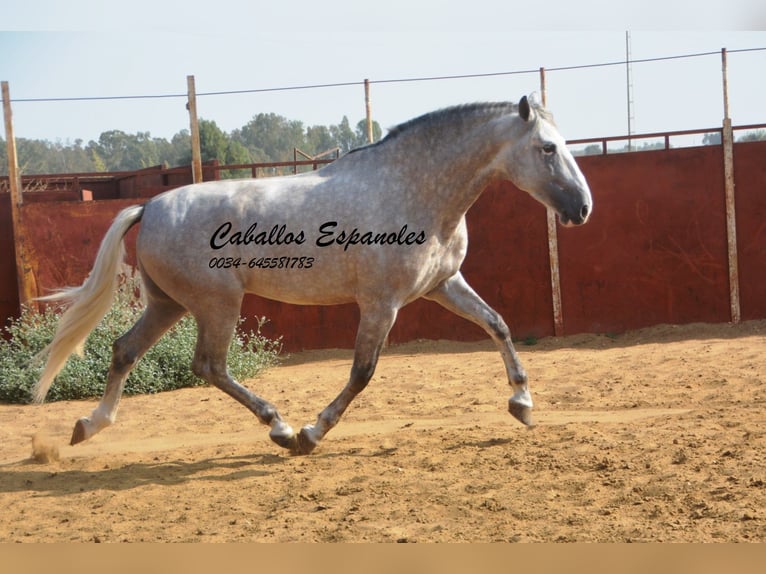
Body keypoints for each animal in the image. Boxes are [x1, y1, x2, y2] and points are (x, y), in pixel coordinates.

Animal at [34, 97, 592, 456]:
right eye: (547, 148)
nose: (583, 208)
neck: (412, 189)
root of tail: (148, 207)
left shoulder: (442, 286)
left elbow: (497, 324)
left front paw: (522, 403)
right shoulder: (381, 304)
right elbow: (362, 372)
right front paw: (312, 432)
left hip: (168, 304)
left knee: (125, 349)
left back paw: (89, 425)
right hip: (216, 304)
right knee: (209, 365)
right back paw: (280, 429)